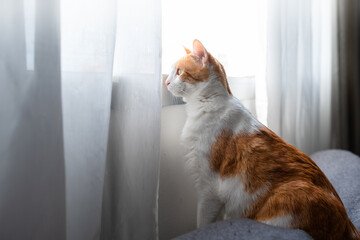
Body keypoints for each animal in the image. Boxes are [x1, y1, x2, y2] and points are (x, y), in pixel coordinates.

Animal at [166, 39, 360, 240]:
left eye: (179, 71)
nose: (166, 82)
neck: (207, 105)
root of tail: (348, 225)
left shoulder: (208, 190)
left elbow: (203, 223)